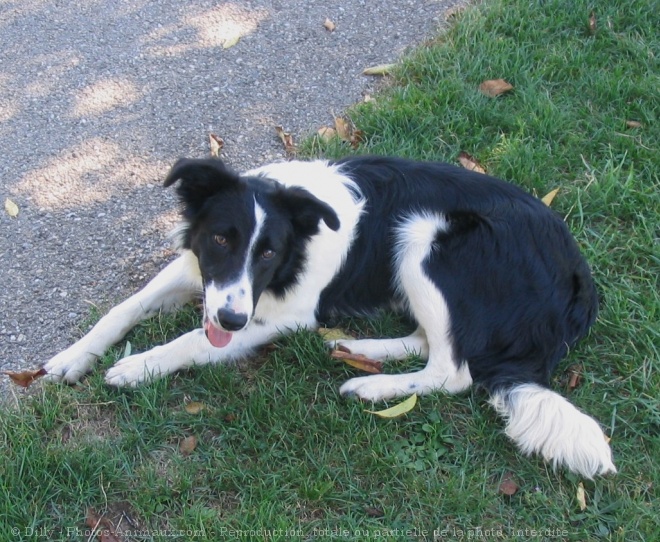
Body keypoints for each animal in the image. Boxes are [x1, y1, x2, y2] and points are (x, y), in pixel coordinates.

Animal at [43, 155, 616, 478]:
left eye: (269, 252)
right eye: (221, 239)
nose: (231, 321)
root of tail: (579, 282)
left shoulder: (278, 315)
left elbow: (190, 340)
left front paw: (137, 367)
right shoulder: (201, 273)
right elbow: (122, 308)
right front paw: (72, 357)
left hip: (425, 235)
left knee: (452, 370)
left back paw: (373, 387)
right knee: (428, 341)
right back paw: (358, 349)